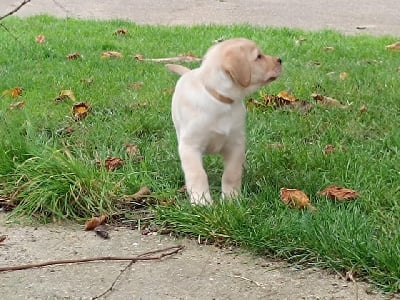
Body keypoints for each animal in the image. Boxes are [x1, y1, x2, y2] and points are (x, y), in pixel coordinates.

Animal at [166, 37, 282, 205]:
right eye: (258, 56)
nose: (280, 60)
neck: (220, 100)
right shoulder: (190, 146)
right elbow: (198, 174)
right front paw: (202, 202)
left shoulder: (235, 144)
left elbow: (231, 174)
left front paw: (231, 199)